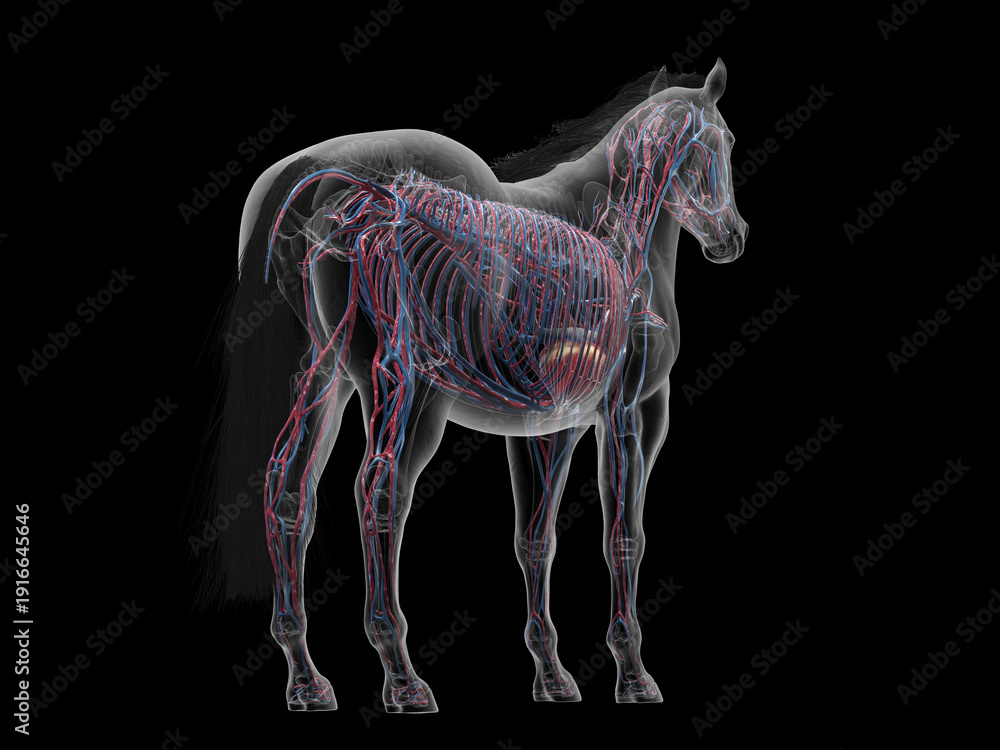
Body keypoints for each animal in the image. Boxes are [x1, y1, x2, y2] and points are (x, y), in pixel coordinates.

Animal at [198, 58, 748, 712]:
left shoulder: (548, 423)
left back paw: (306, 678)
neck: (614, 233)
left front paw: (551, 675)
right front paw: (634, 676)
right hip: (409, 392)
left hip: (320, 378)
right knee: (378, 491)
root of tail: (321, 180)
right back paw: (402, 677)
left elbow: (535, 538)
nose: (731, 239)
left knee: (288, 488)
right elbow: (624, 534)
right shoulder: (631, 410)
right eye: (720, 143)